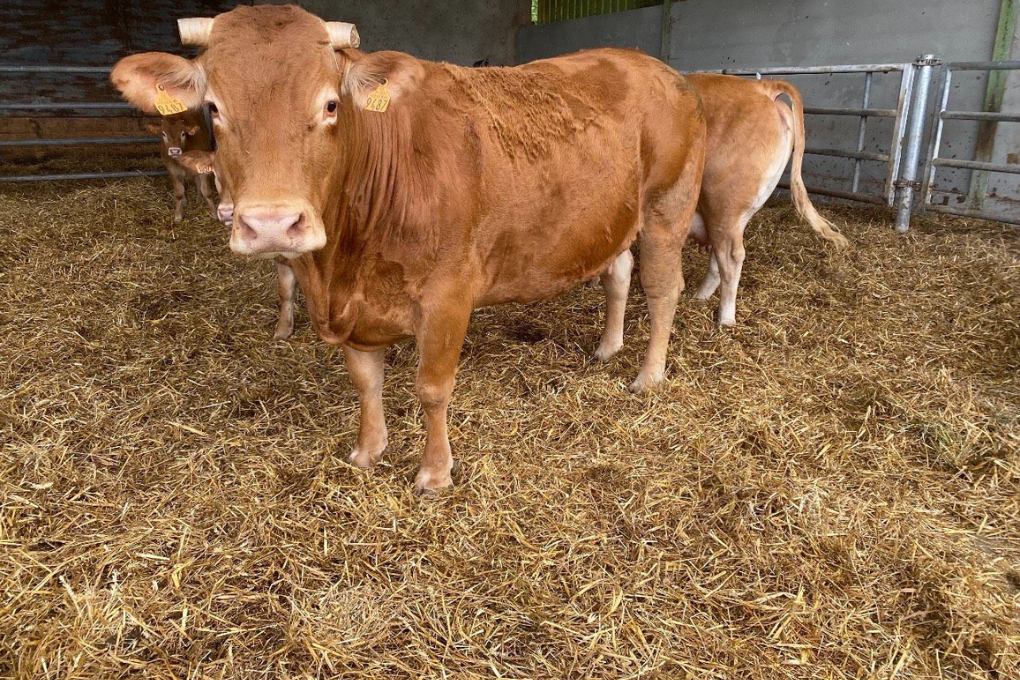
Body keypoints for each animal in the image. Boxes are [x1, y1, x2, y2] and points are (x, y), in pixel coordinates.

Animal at [109, 6, 701, 495]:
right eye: (213, 108)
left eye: (331, 104)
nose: (272, 223)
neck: (340, 267)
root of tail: (654, 65)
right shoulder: (347, 309)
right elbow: (365, 381)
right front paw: (368, 451)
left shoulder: (449, 295)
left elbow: (432, 388)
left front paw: (435, 473)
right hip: (612, 218)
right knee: (618, 274)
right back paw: (608, 347)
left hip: (667, 207)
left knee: (662, 288)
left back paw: (648, 375)